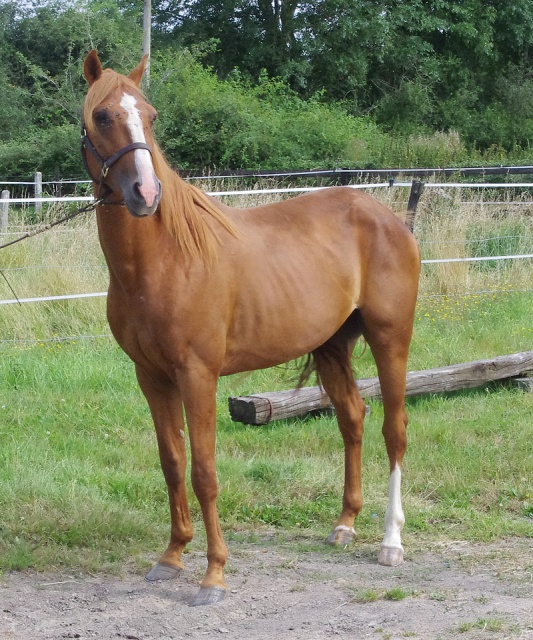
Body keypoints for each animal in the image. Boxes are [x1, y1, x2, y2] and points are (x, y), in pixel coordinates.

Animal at [81, 51, 420, 604]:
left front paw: (213, 574)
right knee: (352, 418)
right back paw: (344, 525)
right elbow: (172, 462)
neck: (165, 258)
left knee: (395, 429)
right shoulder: (150, 376)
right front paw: (171, 556)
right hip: (332, 347)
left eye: (150, 116)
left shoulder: (197, 375)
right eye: (103, 116)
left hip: (391, 339)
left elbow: (204, 471)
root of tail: (389, 219)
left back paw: (391, 542)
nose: (146, 193)